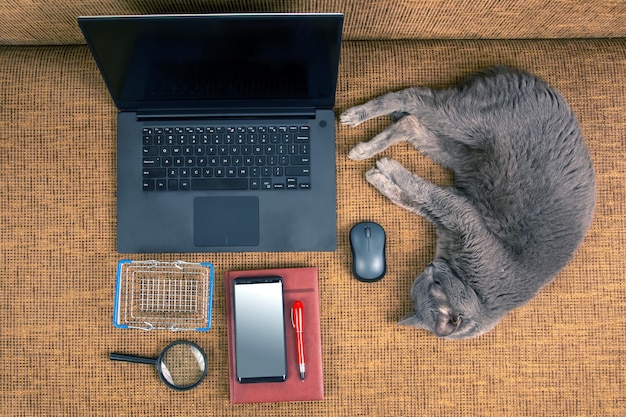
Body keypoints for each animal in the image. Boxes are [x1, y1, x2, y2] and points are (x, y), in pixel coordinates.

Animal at [342, 67, 596, 338]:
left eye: (435, 283)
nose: (431, 265)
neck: (475, 287)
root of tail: (537, 83)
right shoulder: (461, 212)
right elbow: (421, 191)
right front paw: (384, 170)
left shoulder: (456, 210)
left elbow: (414, 195)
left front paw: (382, 173)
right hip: (465, 123)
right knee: (412, 98)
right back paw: (355, 123)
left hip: (462, 151)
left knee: (411, 122)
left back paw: (369, 151)